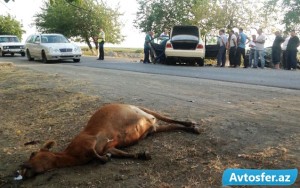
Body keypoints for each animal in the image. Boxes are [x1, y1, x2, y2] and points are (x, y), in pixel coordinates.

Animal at [19, 103, 202, 178]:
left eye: (33, 153)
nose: (21, 168)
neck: (70, 155)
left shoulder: (89, 139)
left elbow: (98, 154)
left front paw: (104, 158)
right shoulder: (108, 147)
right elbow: (117, 153)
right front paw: (142, 155)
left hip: (144, 111)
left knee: (167, 118)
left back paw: (191, 125)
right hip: (152, 128)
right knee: (168, 125)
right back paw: (191, 128)